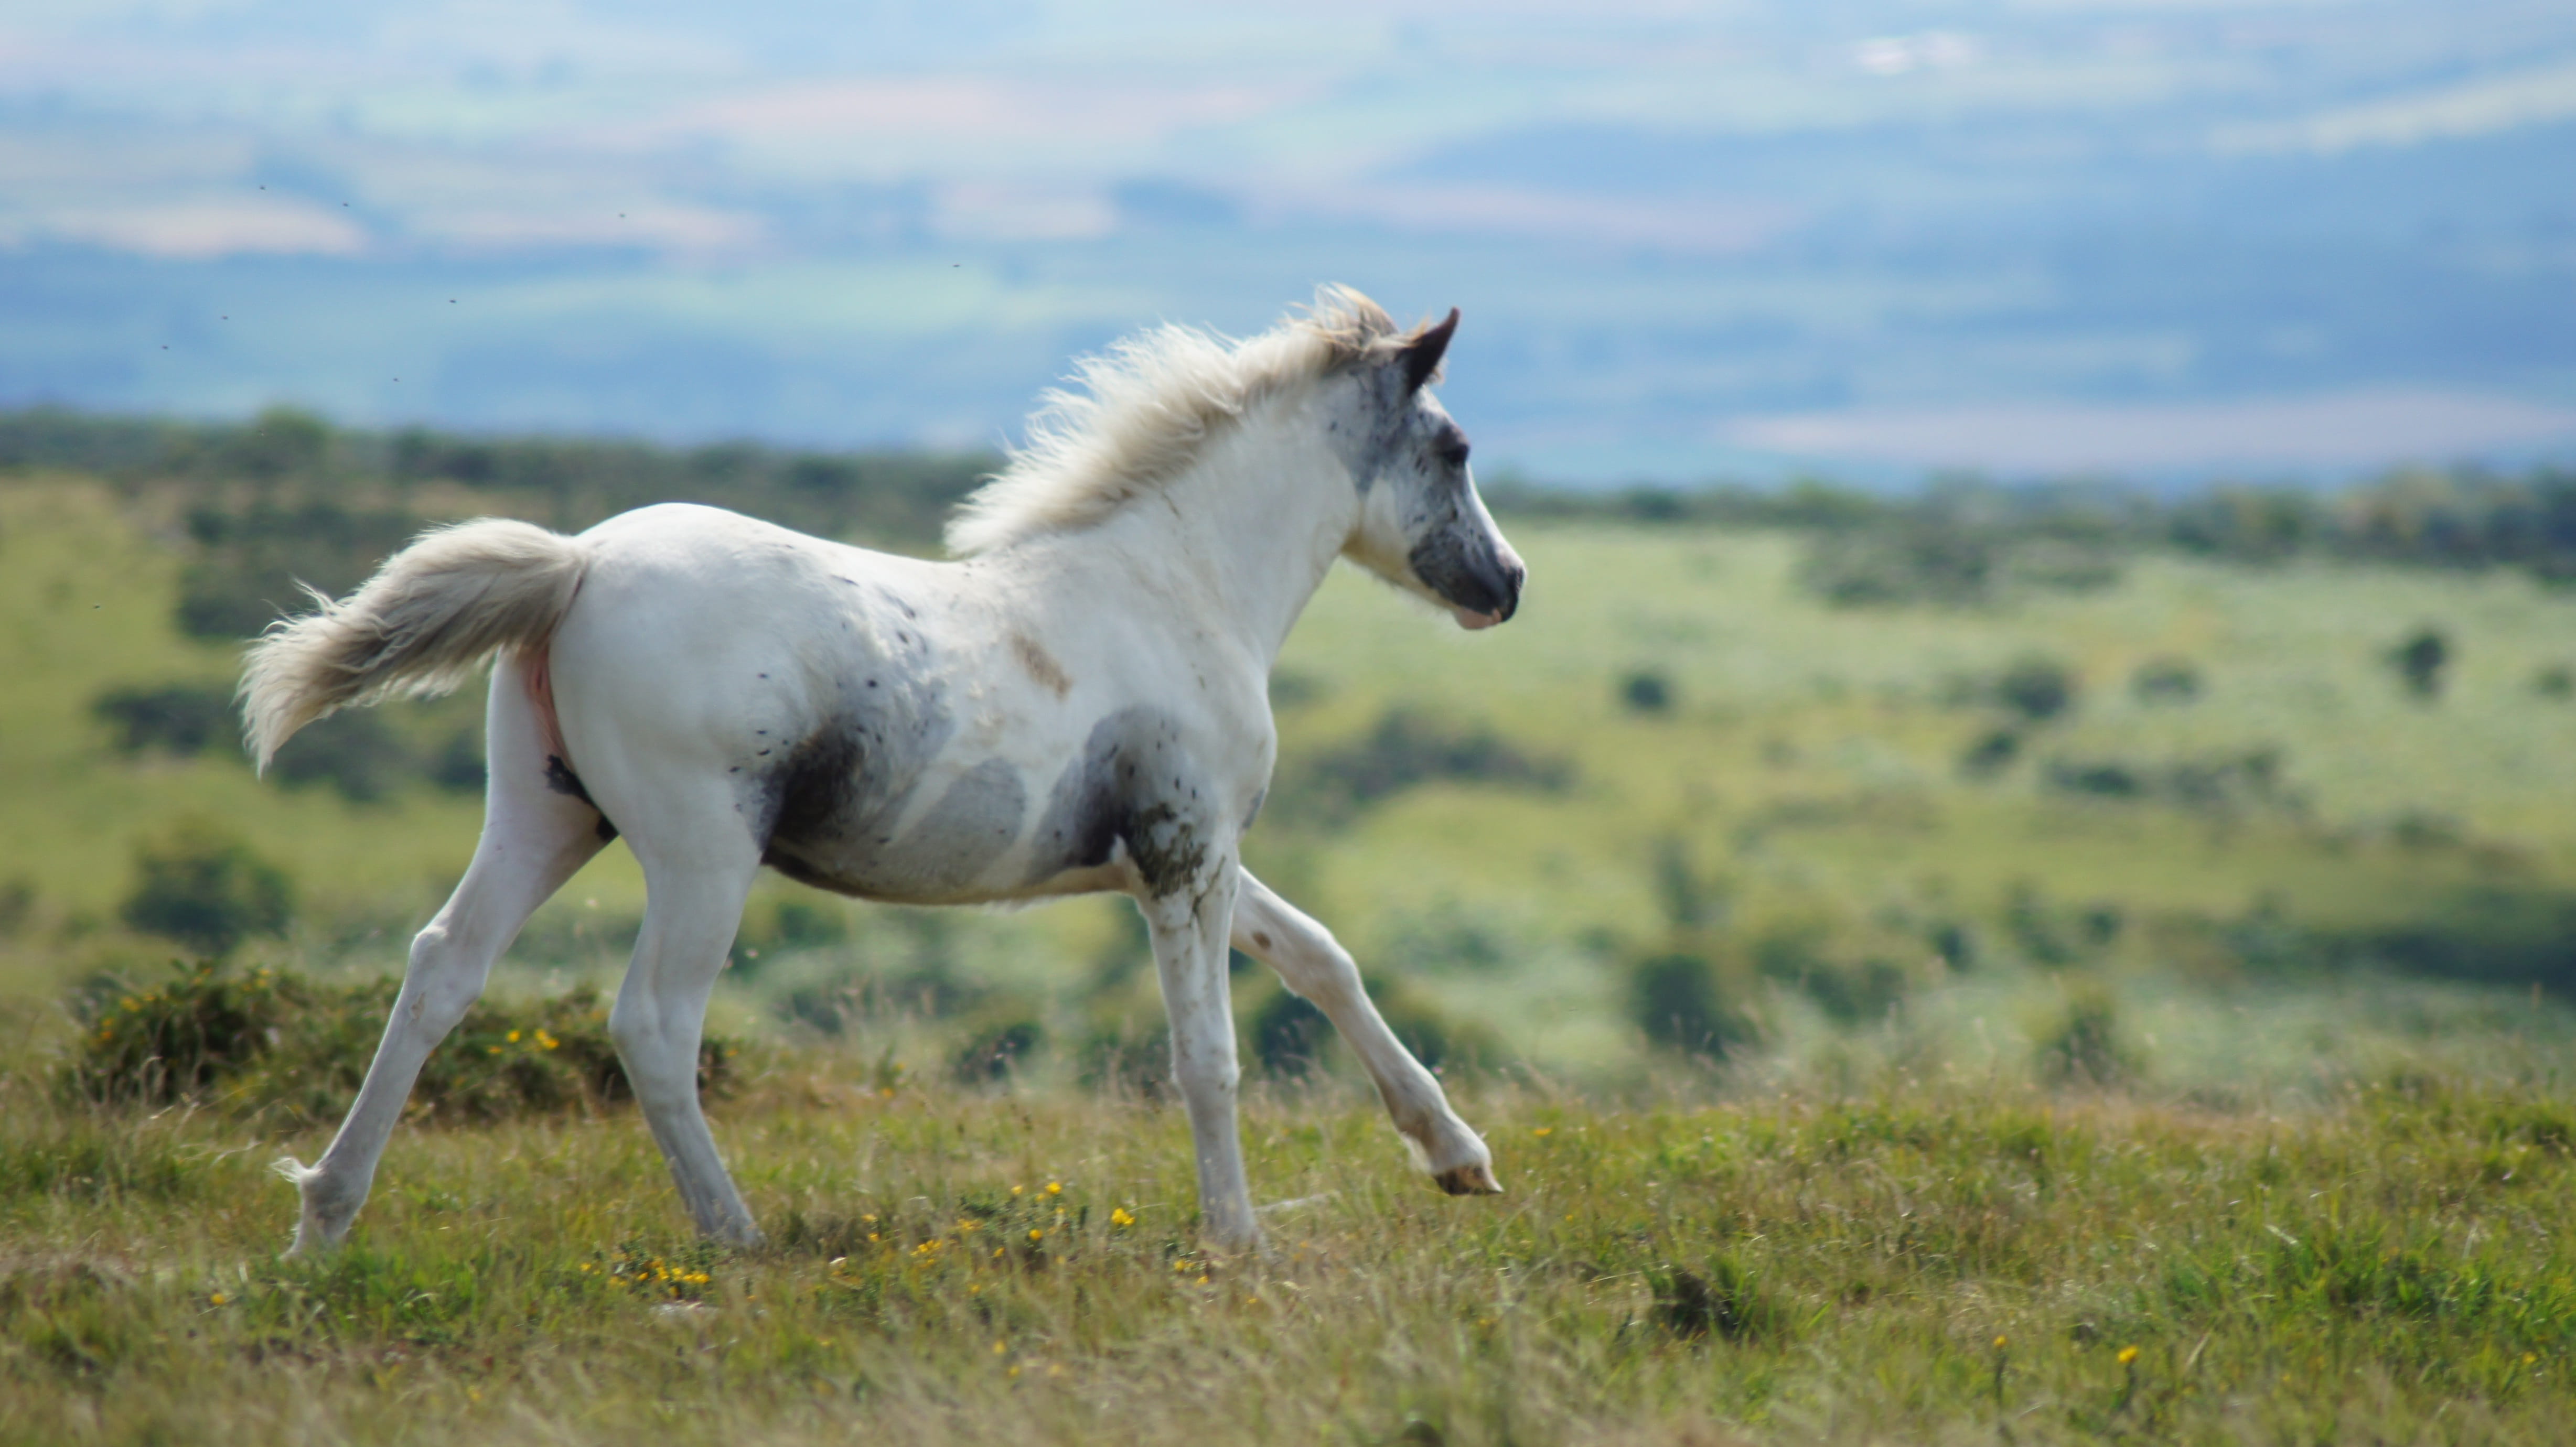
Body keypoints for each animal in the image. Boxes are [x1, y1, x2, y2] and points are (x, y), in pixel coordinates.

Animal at [243, 287, 1526, 1255]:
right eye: (1453, 447)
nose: (1507, 584)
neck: (1177, 589)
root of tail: (576, 565)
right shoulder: (1183, 855)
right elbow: (1207, 1056)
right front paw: (1237, 1241)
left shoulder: (1176, 858)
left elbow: (1320, 957)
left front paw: (1459, 1159)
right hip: (702, 855)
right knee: (653, 1023)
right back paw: (736, 1238)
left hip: (544, 816)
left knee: (441, 970)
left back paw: (322, 1221)